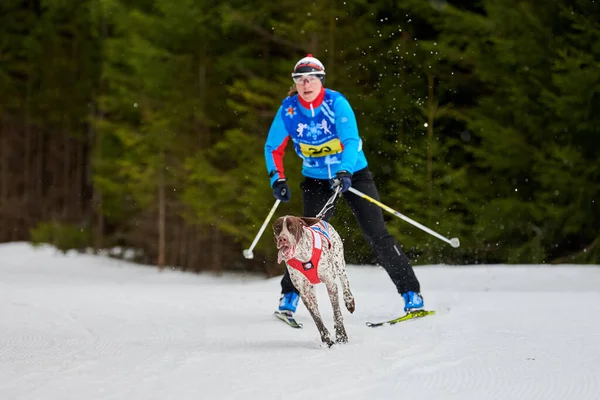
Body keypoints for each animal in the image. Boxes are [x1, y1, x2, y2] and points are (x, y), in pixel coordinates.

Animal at [274, 216, 354, 346]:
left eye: (291, 227)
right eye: (277, 228)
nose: (282, 239)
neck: (302, 257)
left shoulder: (330, 283)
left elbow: (337, 312)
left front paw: (341, 336)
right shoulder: (305, 294)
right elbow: (316, 317)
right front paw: (326, 339)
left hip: (339, 262)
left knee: (344, 281)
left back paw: (349, 301)